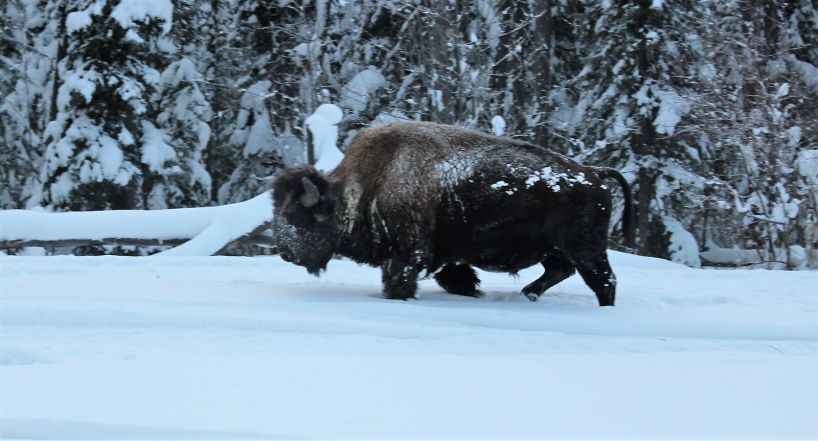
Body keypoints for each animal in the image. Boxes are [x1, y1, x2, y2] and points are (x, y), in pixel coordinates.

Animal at [272, 121, 633, 306]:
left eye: (297, 216)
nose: (285, 252)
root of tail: (593, 173)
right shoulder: (444, 255)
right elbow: (455, 276)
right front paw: (473, 291)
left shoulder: (408, 255)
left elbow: (400, 279)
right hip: (557, 249)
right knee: (560, 271)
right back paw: (528, 294)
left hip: (586, 249)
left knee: (603, 281)